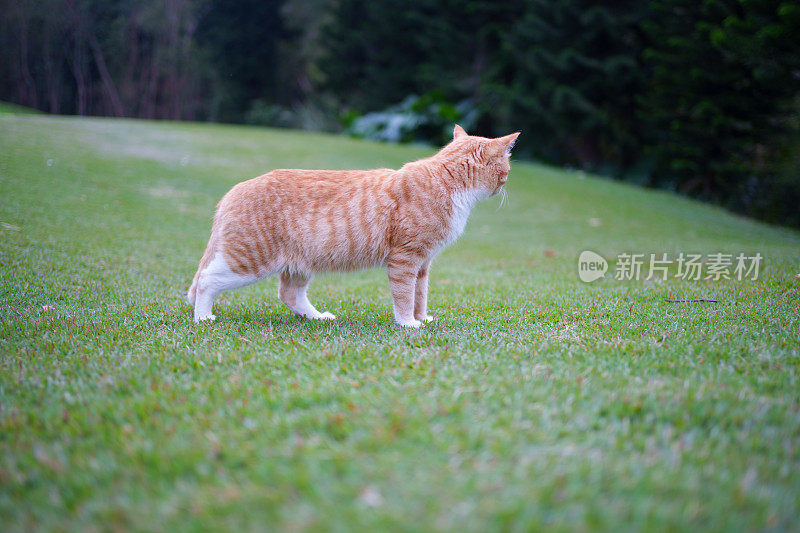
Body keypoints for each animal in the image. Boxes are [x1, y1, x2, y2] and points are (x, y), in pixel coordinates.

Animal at [190, 127, 520, 326]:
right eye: (506, 169)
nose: (506, 184)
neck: (445, 180)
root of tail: (235, 190)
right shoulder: (405, 259)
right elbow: (404, 296)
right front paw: (408, 323)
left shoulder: (424, 263)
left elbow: (420, 295)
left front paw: (421, 318)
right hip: (248, 261)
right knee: (206, 280)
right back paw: (203, 317)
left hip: (300, 263)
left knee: (289, 294)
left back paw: (318, 317)